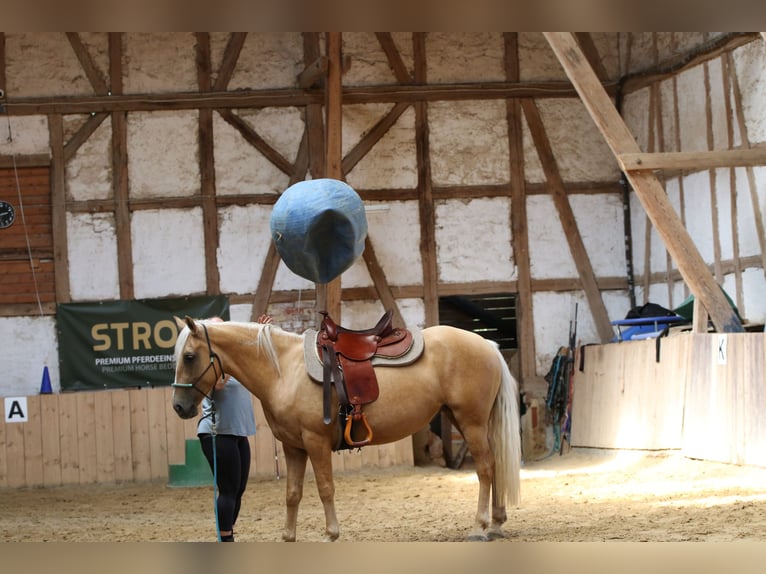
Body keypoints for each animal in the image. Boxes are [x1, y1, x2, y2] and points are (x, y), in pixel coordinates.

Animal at [170, 315, 521, 542]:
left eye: (188, 356)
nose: (179, 407)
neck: (284, 370)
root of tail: (487, 344)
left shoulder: (315, 443)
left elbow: (325, 488)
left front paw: (331, 534)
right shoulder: (293, 447)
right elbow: (293, 494)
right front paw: (288, 536)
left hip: (471, 421)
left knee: (485, 469)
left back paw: (480, 527)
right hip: (473, 421)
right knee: (496, 465)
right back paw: (497, 524)